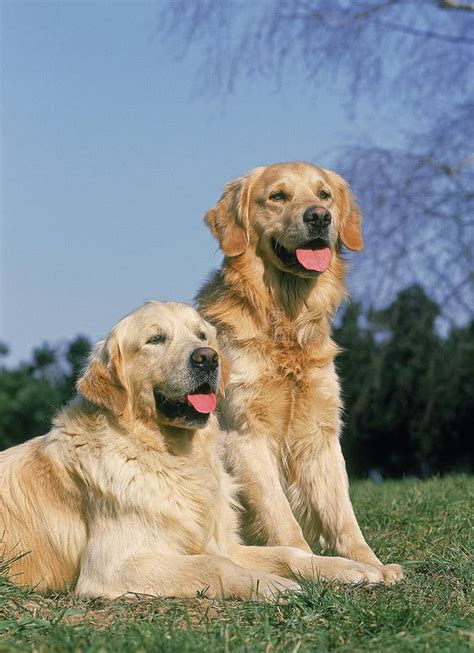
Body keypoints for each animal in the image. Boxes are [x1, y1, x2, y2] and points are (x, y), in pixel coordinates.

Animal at [0, 300, 386, 596]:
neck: (169, 455)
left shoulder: (225, 542)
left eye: (201, 335)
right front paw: (272, 584)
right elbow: (213, 563)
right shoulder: (112, 566)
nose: (208, 358)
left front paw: (353, 569)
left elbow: (286, 554)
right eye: (155, 339)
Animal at [198, 162, 402, 580]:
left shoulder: (320, 433)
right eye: (277, 196)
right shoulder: (245, 434)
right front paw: (314, 565)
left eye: (324, 195)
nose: (319, 217)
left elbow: (343, 516)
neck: (286, 321)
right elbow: (282, 517)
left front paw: (370, 563)